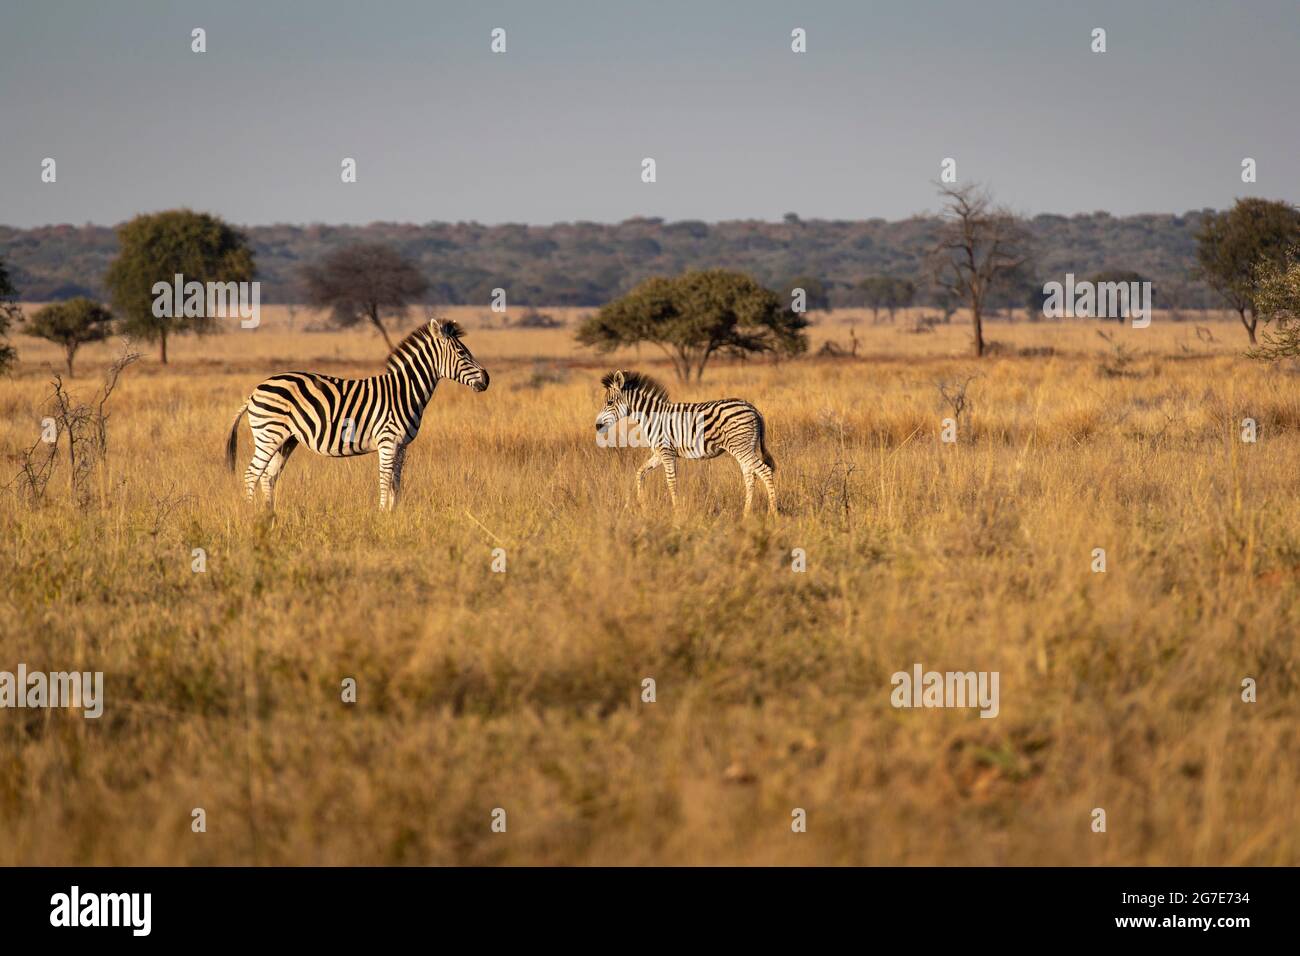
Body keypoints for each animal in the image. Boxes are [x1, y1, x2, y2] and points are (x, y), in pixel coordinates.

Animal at [223, 317, 488, 512]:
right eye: (462, 354)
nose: (487, 379)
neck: (404, 391)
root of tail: (255, 391)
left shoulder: (402, 444)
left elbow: (397, 481)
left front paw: (395, 513)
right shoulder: (388, 440)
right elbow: (384, 478)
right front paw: (382, 514)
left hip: (286, 440)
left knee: (268, 477)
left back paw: (270, 515)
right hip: (269, 434)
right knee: (252, 474)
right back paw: (252, 515)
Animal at [595, 369, 774, 515]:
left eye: (609, 403)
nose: (597, 426)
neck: (652, 417)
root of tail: (753, 408)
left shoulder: (666, 452)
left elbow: (671, 482)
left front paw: (677, 512)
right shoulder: (659, 454)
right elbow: (640, 473)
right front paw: (642, 505)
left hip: (741, 447)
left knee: (764, 471)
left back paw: (773, 514)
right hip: (745, 447)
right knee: (750, 476)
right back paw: (746, 514)